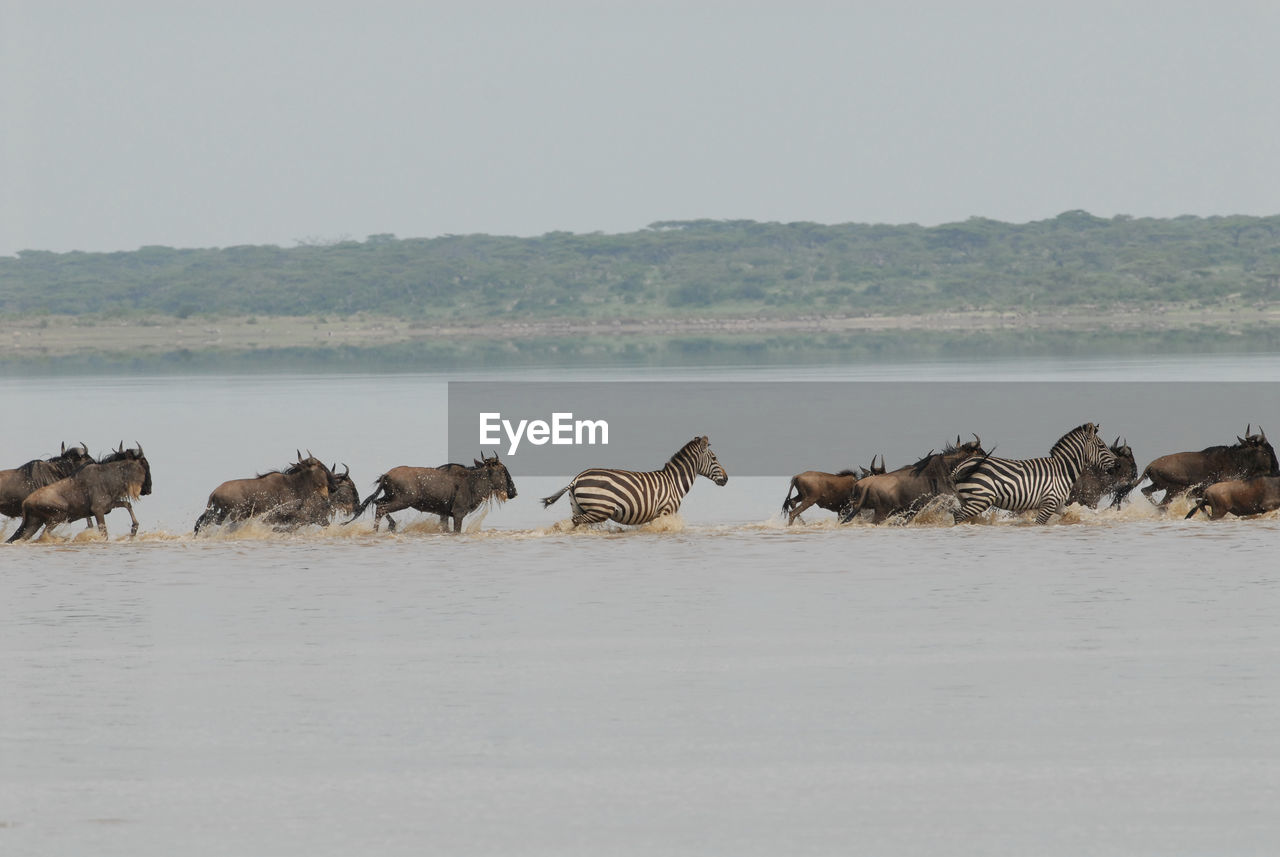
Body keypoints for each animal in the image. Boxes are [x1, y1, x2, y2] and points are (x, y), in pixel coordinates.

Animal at [540, 440, 732, 526]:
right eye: (714, 458)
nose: (726, 478)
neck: (673, 482)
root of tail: (577, 478)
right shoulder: (666, 511)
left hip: (578, 506)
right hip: (600, 508)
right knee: (576, 521)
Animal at [952, 422, 1121, 524]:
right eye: (1102, 446)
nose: (1119, 464)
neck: (1062, 469)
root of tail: (959, 467)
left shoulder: (1058, 505)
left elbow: (1071, 516)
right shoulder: (1048, 503)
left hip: (966, 498)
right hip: (980, 498)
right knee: (958, 515)